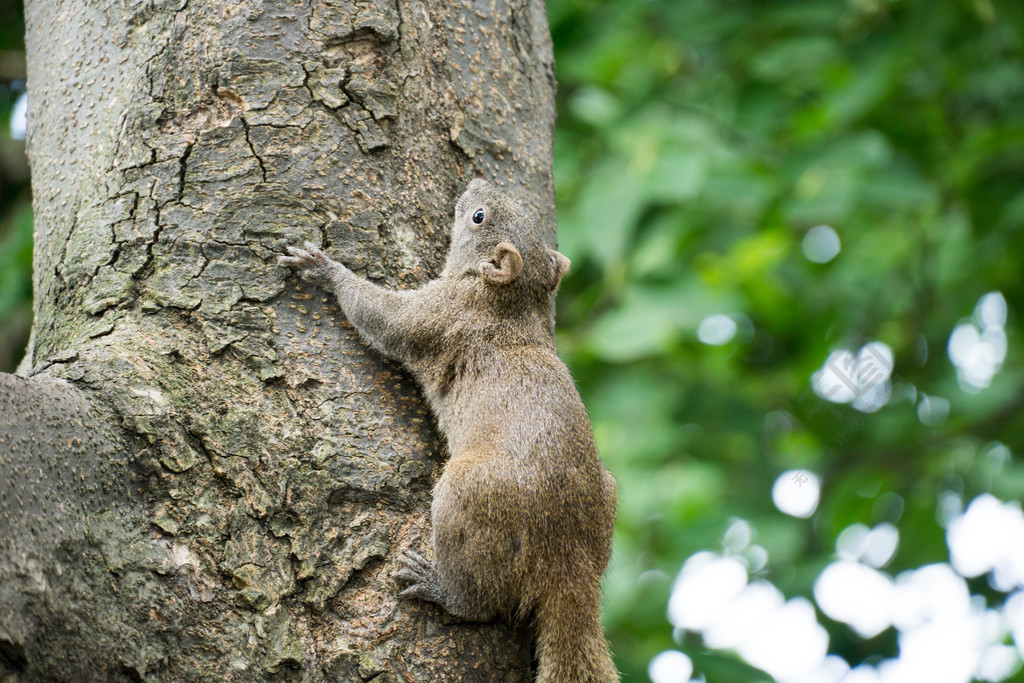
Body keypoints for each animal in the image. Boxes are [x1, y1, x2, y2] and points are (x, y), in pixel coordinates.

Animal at [276, 179, 618, 679]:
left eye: (478, 217)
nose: (475, 182)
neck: (512, 301)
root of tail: (569, 563)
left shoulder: (440, 314)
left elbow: (386, 318)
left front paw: (324, 269)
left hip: (469, 496)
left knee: (482, 602)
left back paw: (439, 587)